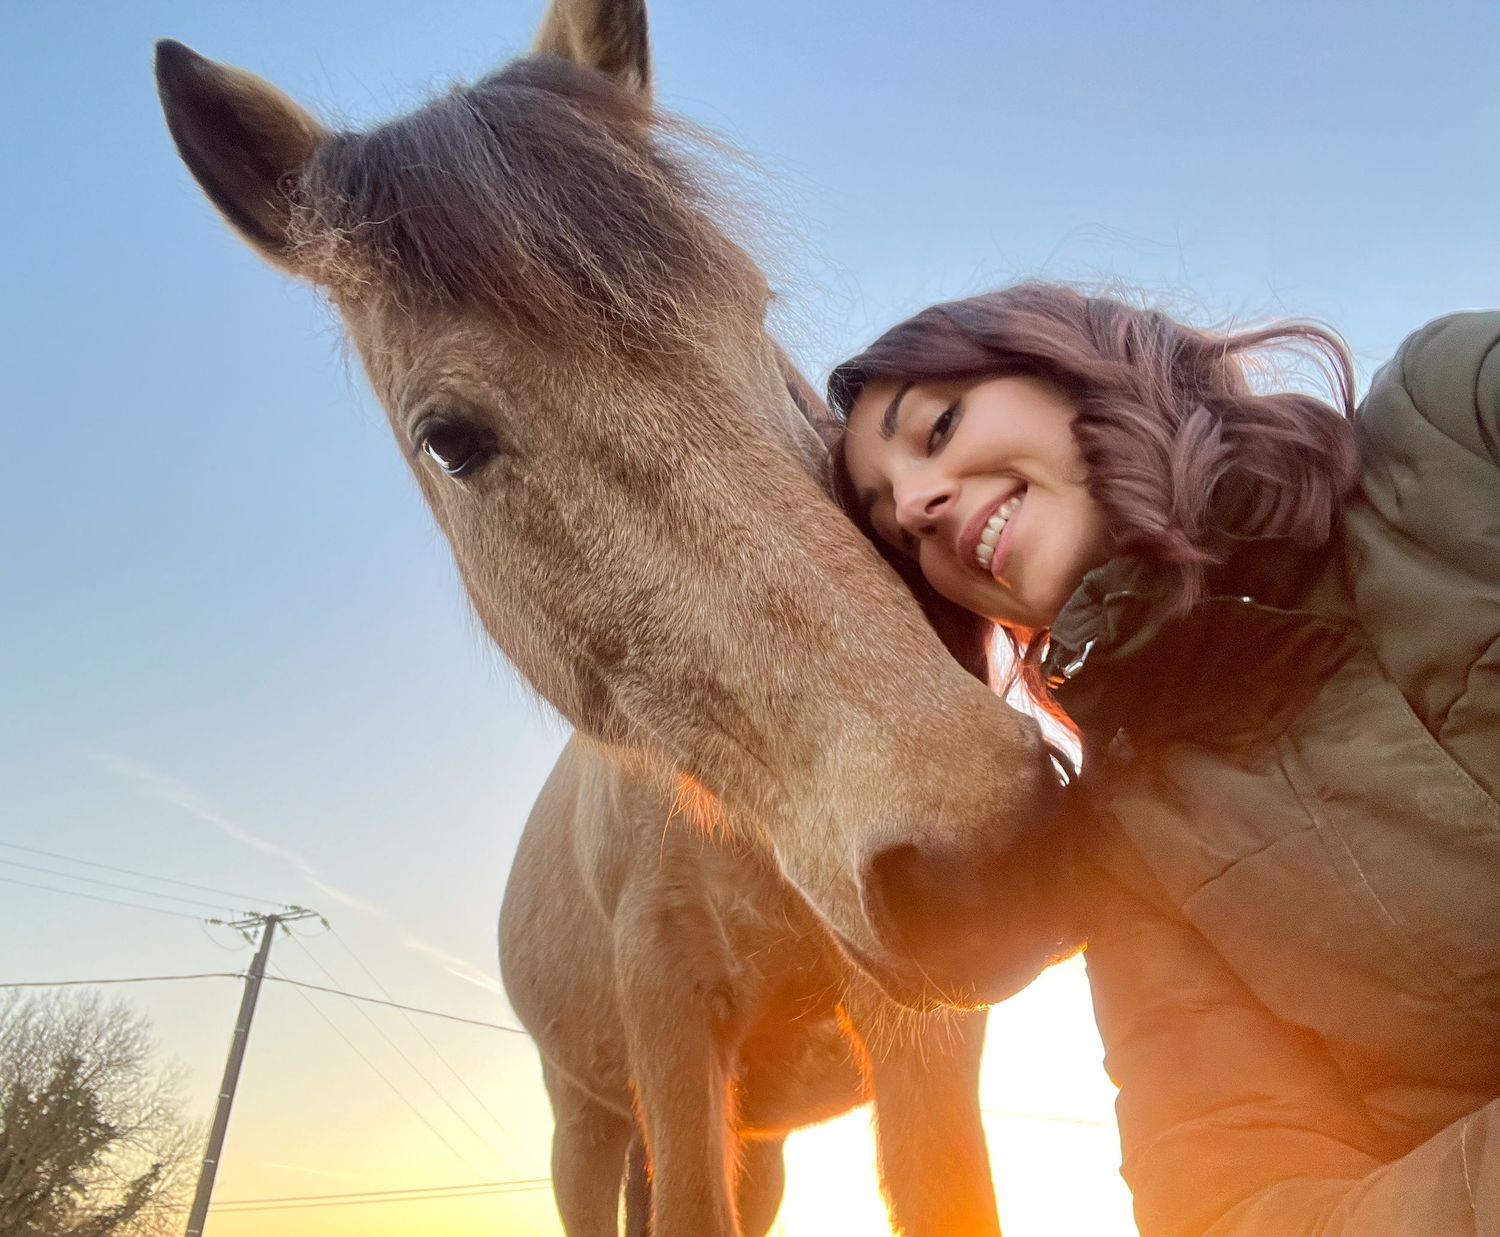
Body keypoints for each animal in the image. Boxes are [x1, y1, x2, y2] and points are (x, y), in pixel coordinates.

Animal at [154, 2, 1073, 1232]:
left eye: (754, 307)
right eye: (449, 439)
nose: (982, 846)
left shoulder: (922, 1049)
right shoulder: (670, 1025)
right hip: (583, 1122)